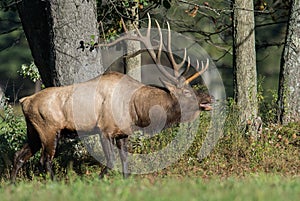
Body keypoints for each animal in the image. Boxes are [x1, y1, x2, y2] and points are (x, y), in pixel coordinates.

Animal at [10, 13, 212, 181]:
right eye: (187, 92)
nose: (209, 99)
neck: (136, 110)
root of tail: (24, 101)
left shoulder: (123, 133)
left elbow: (124, 160)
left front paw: (125, 181)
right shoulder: (104, 129)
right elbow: (111, 161)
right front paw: (98, 181)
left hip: (34, 131)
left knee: (19, 155)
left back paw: (13, 184)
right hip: (49, 129)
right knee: (45, 160)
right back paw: (55, 183)